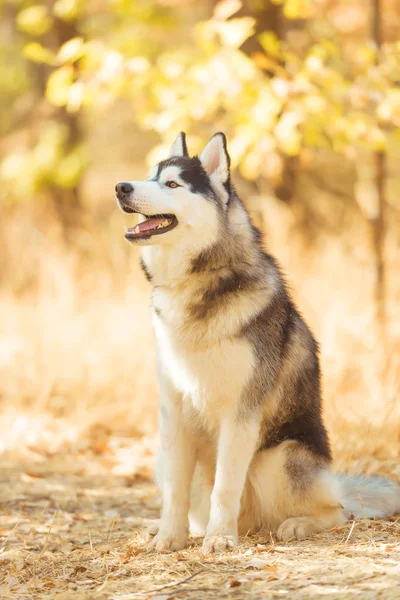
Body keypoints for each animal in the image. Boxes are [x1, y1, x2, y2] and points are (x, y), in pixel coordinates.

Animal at [115, 131, 400, 552]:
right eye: (149, 176)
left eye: (172, 184)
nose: (121, 187)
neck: (202, 285)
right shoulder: (175, 412)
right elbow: (175, 491)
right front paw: (169, 536)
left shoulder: (241, 413)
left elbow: (225, 488)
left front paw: (219, 540)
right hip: (164, 456)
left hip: (278, 458)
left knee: (336, 510)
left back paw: (294, 524)